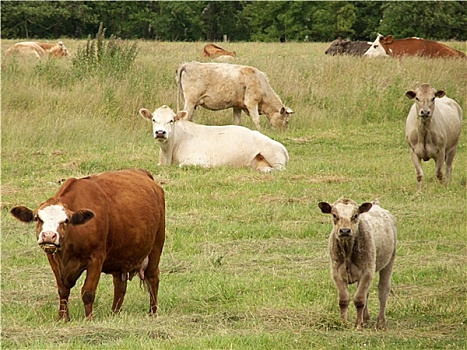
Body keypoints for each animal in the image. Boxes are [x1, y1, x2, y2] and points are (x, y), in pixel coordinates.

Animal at [8, 169, 166, 320]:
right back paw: (114, 313)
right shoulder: (53, 259)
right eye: (37, 218)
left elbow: (88, 292)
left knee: (153, 279)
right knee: (120, 285)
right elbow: (63, 290)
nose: (48, 236)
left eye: (65, 220)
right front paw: (63, 318)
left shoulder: (96, 259)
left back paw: (152, 313)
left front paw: (89, 318)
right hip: (120, 257)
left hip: (156, 247)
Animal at [318, 198, 398, 330]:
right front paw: (343, 322)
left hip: (389, 261)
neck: (348, 252)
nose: (345, 231)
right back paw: (365, 319)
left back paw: (381, 322)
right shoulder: (336, 273)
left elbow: (359, 300)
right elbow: (344, 299)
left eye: (355, 215)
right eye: (334, 215)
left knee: (383, 290)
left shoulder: (367, 272)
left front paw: (358, 325)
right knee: (367, 293)